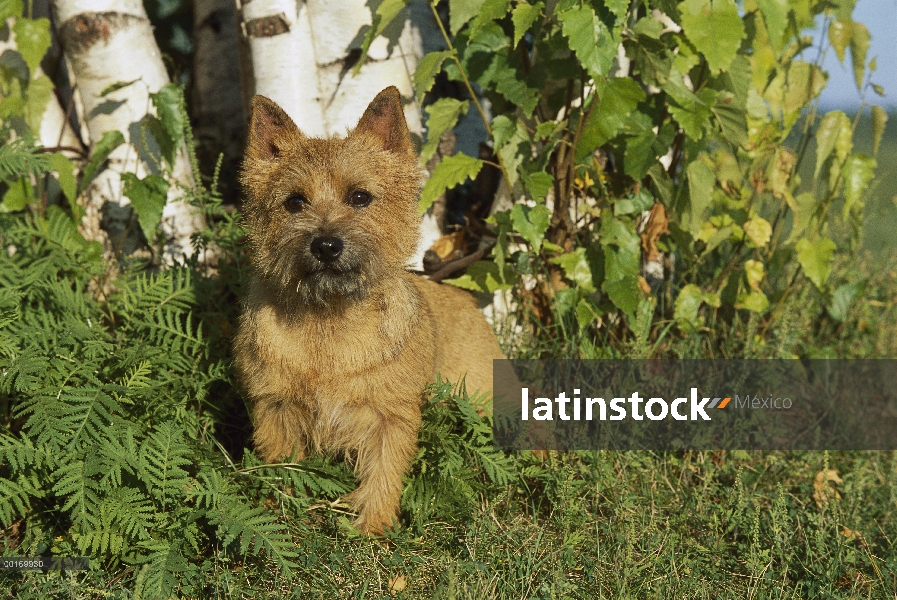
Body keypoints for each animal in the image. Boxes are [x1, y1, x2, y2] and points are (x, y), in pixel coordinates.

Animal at [233, 85, 504, 536]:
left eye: (360, 197)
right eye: (294, 202)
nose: (326, 245)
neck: (329, 320)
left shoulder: (389, 416)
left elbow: (384, 471)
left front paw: (374, 528)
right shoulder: (275, 407)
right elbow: (280, 465)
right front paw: (275, 512)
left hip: (487, 395)